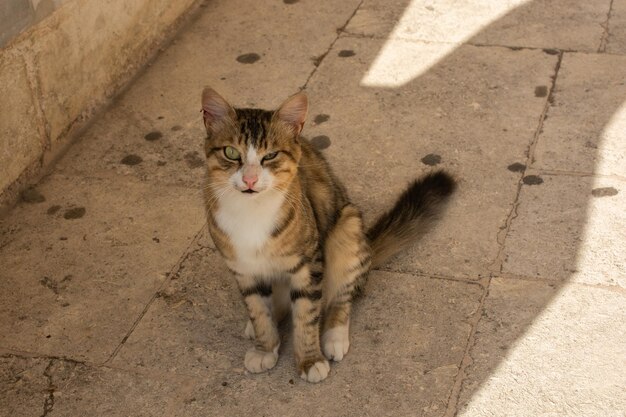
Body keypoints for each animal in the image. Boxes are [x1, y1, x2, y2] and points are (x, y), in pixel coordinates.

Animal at [200, 88, 454, 384]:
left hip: (346, 230)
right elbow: (258, 311)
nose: (250, 180)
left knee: (342, 296)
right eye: (231, 152)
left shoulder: (309, 265)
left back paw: (334, 336)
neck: (251, 213)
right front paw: (265, 347)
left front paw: (310, 360)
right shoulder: (244, 270)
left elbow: (306, 317)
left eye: (270, 155)